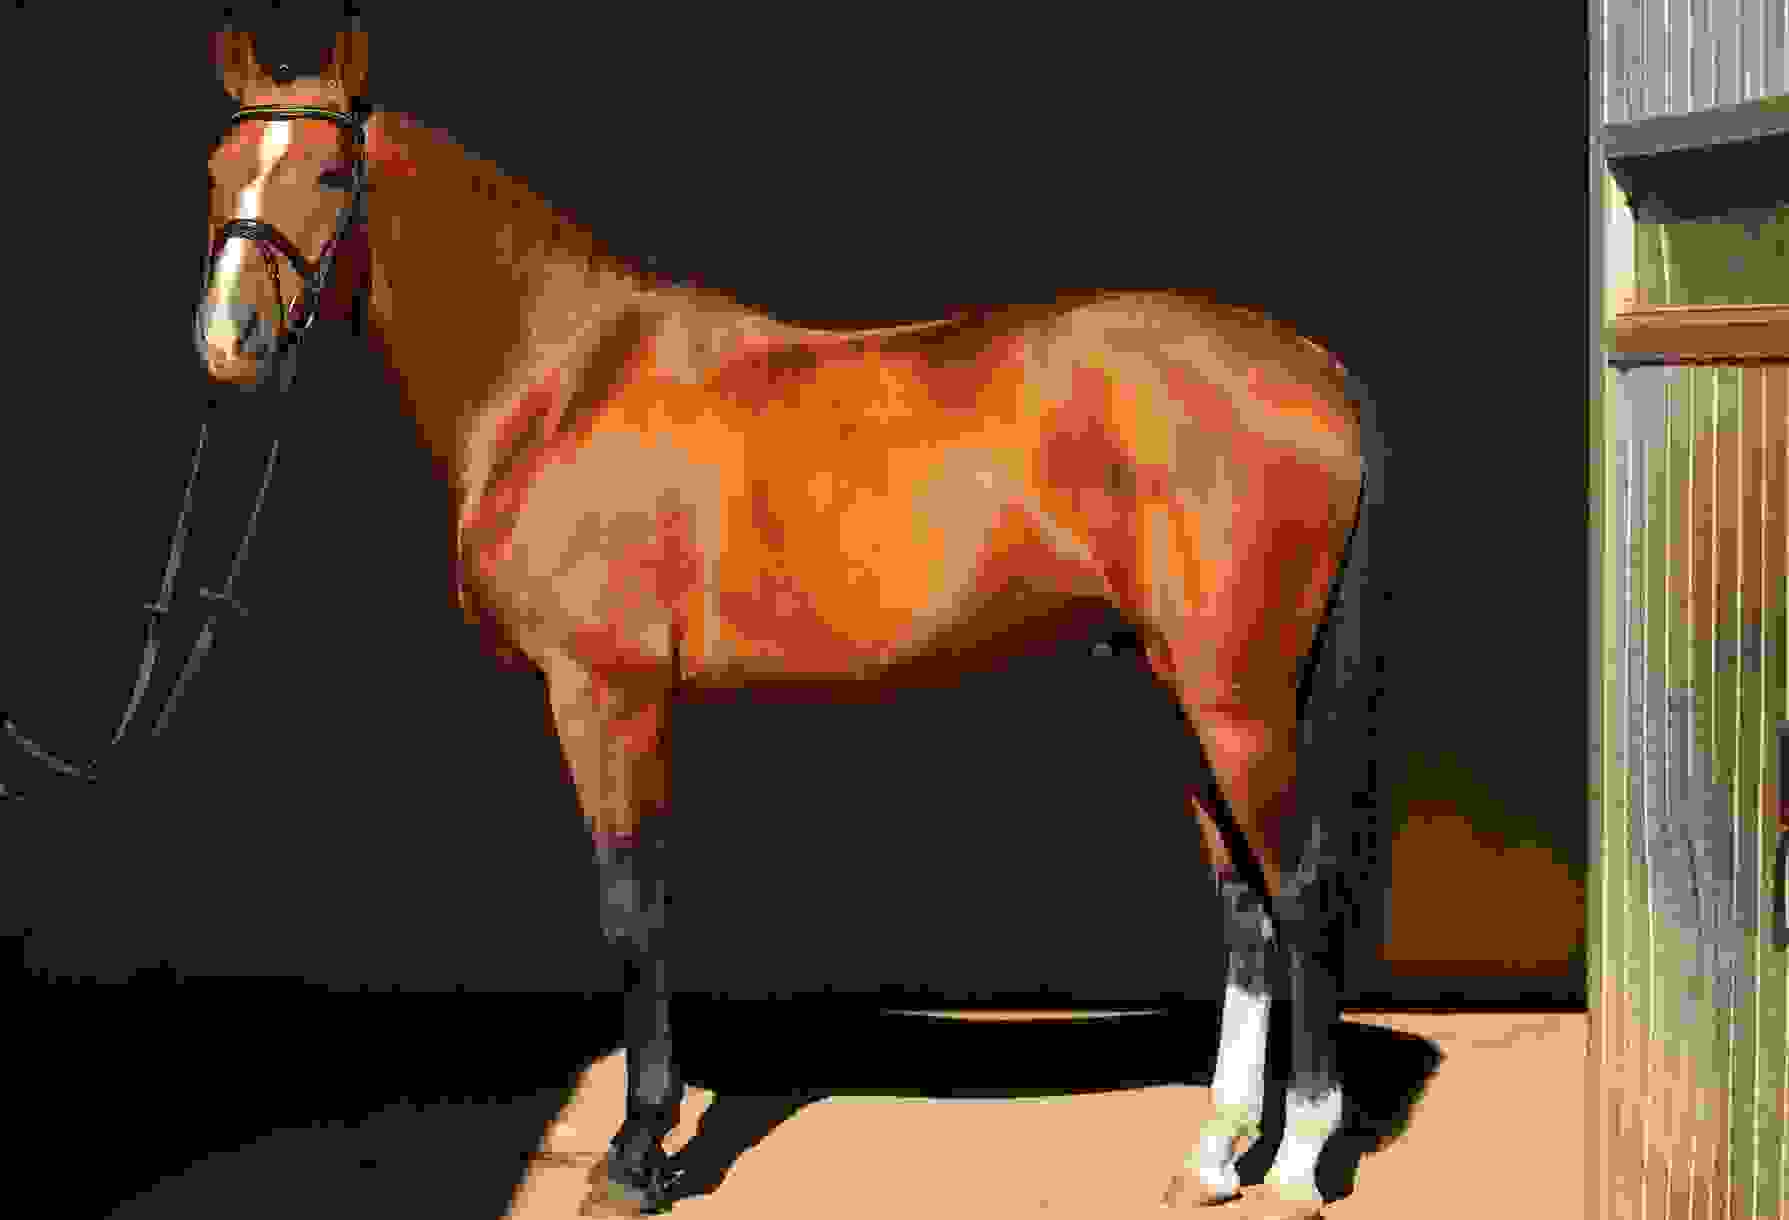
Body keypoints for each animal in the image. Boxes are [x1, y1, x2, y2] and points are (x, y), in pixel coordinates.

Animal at [198, 25, 1369, 1220]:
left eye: (330, 174)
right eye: (217, 168)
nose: (228, 340)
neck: (559, 383)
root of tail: (1315, 370)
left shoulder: (606, 696)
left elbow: (631, 905)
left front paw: (638, 1151)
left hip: (1238, 700)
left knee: (1301, 891)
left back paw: (1293, 1162)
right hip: (1182, 688)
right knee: (1241, 899)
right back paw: (1214, 1153)